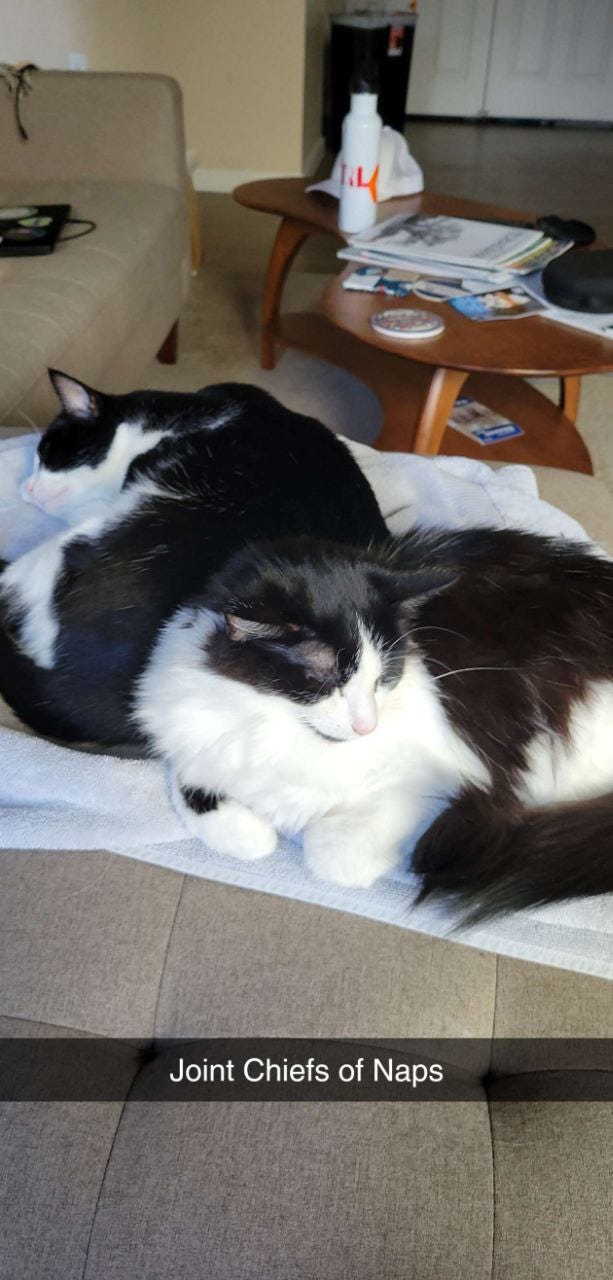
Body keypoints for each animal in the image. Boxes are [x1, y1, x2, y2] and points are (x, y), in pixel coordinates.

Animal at [131, 525, 613, 921]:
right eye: (330, 680)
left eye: (383, 679)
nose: (367, 726)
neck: (272, 725)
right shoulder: (192, 743)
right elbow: (217, 812)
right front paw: (254, 828)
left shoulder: (438, 780)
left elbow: (331, 851)